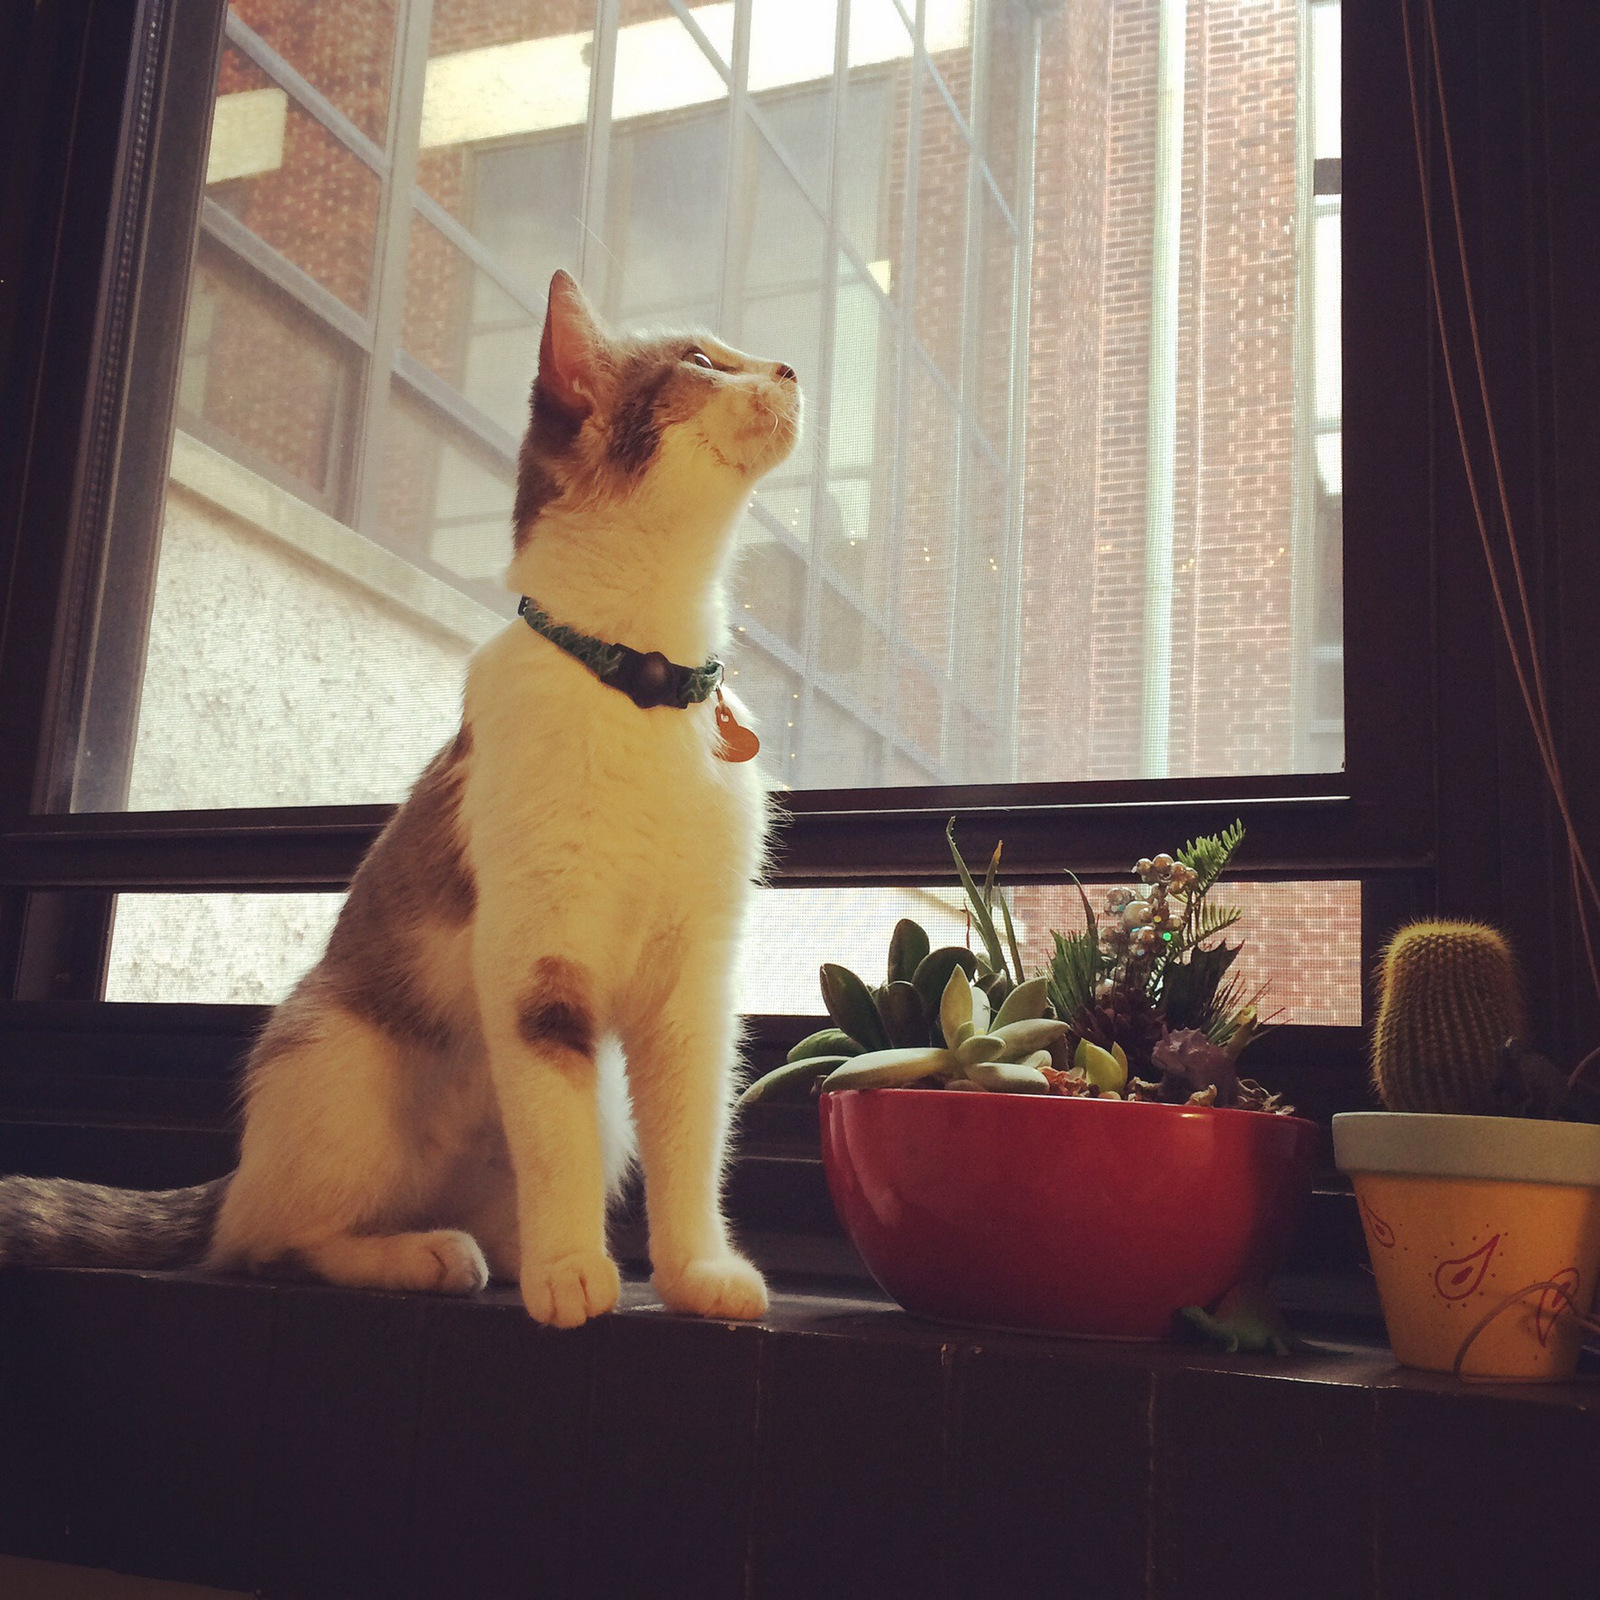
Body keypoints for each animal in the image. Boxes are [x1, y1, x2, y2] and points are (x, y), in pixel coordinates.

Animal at [0, 270, 799, 1327]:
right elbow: (555, 1137)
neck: (642, 680)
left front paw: (695, 1271)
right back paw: (432, 1254)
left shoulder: (694, 980)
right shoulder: (536, 960)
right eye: (703, 361)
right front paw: (570, 1274)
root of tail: (239, 1173)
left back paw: (511, 1248)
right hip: (346, 1063)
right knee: (272, 1244)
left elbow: (691, 1138)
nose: (791, 367)